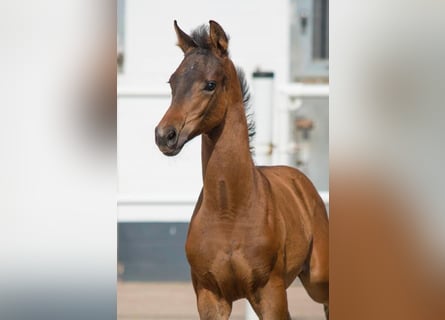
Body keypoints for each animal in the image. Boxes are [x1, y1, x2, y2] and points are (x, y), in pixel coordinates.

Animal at [154, 20, 328, 320]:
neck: (229, 210)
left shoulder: (270, 293)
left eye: (210, 84)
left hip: (319, 278)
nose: (165, 135)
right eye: (172, 82)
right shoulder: (210, 297)